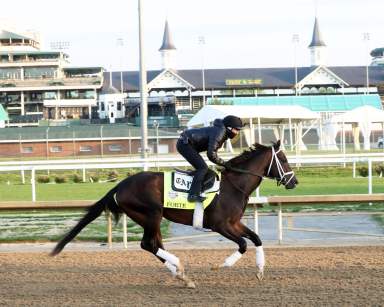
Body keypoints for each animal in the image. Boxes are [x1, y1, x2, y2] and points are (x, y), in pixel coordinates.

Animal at [50, 141, 296, 290]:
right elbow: (244, 244)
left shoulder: (234, 223)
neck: (234, 186)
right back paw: (179, 267)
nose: (294, 182)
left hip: (150, 218)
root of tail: (120, 185)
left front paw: (260, 271)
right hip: (152, 213)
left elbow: (256, 238)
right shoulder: (220, 225)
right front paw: (220, 266)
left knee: (154, 245)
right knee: (148, 244)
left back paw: (181, 276)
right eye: (283, 160)